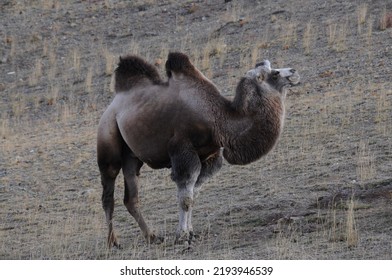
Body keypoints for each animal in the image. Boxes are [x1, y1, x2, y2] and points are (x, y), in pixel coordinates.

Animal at [96, 51, 298, 248]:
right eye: (275, 73)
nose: (294, 71)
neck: (217, 119)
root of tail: (113, 105)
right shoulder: (182, 149)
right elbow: (185, 197)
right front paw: (182, 236)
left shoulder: (210, 155)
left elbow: (194, 194)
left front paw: (191, 232)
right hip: (108, 138)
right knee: (108, 193)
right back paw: (112, 242)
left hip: (132, 156)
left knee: (131, 194)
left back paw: (152, 237)